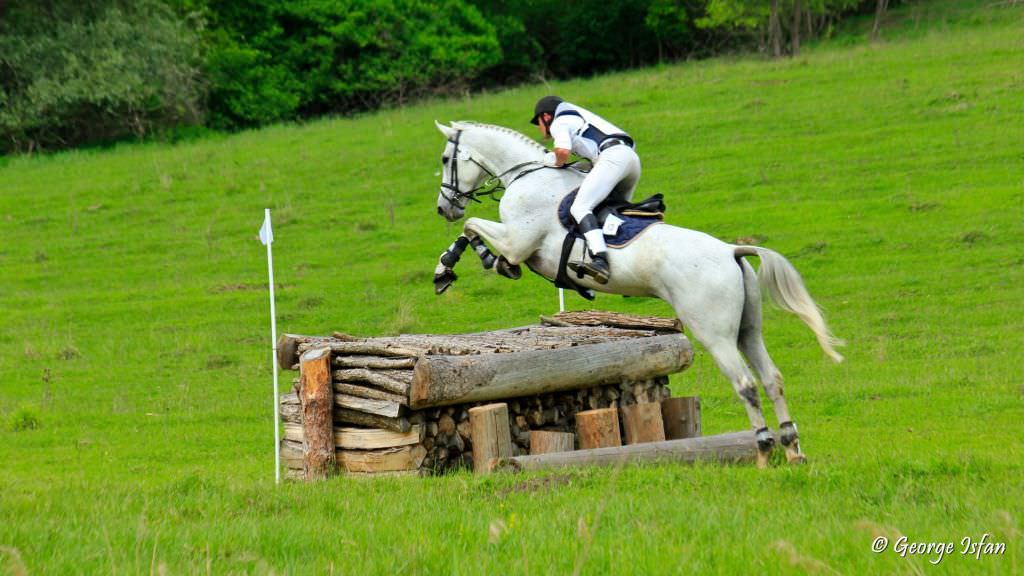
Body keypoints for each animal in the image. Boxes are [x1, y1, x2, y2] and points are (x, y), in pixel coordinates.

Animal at [432, 119, 839, 461]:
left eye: (446, 158)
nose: (443, 208)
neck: (526, 175)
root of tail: (730, 251)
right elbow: (470, 229)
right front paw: (454, 267)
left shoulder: (518, 242)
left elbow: (473, 226)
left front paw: (454, 266)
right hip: (747, 330)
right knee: (772, 380)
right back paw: (792, 448)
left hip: (715, 333)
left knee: (746, 384)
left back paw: (764, 449)